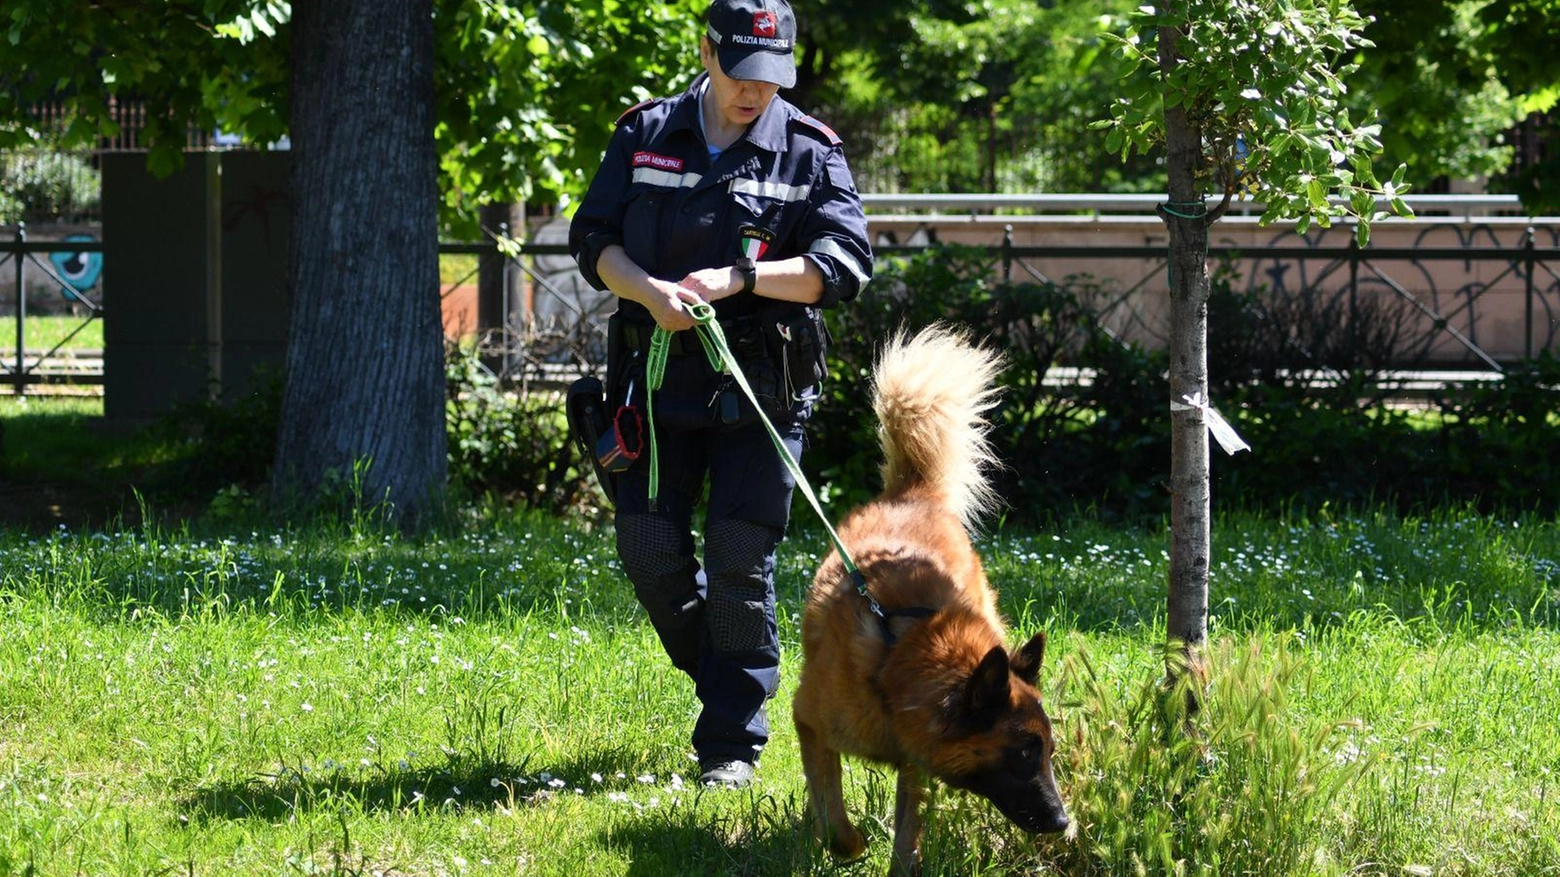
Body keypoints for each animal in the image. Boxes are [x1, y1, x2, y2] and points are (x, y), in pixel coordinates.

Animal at [798, 324, 1067, 867]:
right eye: (1024, 751)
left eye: (1049, 750)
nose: (1063, 822)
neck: (898, 654)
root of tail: (913, 491)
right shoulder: (809, 723)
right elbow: (834, 818)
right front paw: (849, 845)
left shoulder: (915, 760)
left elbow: (909, 826)